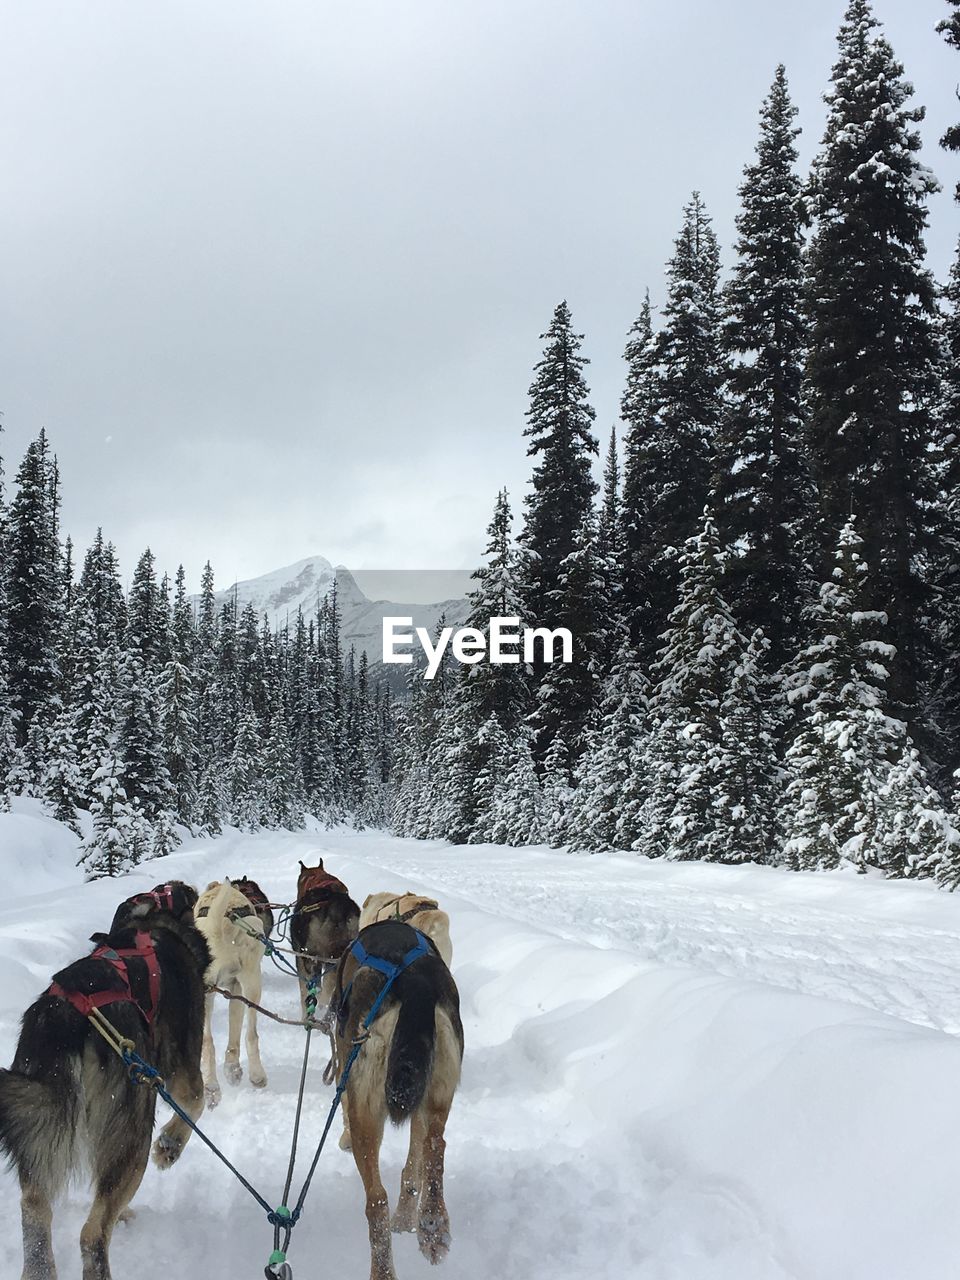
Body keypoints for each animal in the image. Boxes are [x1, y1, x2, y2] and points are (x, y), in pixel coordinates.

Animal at [0, 901, 209, 1280]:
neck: (150, 924)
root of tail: (65, 1020)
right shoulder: (183, 1069)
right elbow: (195, 1103)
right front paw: (169, 1147)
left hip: (41, 1126)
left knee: (36, 1207)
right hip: (134, 1126)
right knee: (92, 1232)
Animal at [193, 875, 267, 1105]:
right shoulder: (237, 989)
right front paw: (233, 1068)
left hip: (207, 993)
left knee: (207, 1041)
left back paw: (211, 1087)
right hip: (251, 982)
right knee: (251, 1034)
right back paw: (256, 1075)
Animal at [335, 921, 463, 1280]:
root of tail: (415, 982)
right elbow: (412, 1167)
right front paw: (408, 1220)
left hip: (365, 1110)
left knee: (376, 1200)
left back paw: (383, 1270)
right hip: (437, 1090)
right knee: (435, 1145)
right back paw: (431, 1224)